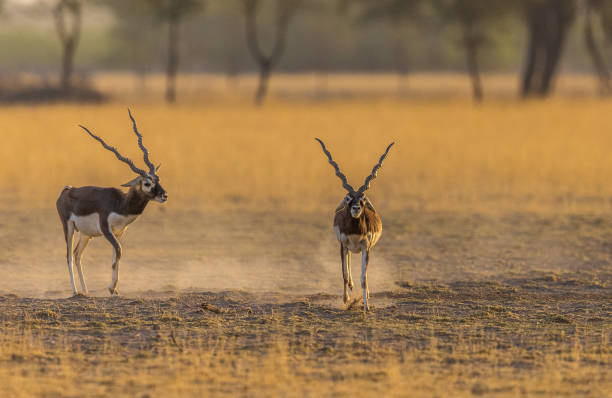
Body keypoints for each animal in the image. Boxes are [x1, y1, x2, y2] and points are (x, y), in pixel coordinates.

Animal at [57, 110, 166, 296]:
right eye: (146, 183)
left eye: (157, 179)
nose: (164, 195)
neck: (120, 204)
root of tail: (67, 190)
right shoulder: (106, 229)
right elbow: (119, 251)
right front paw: (111, 288)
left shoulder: (119, 232)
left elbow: (116, 256)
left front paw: (114, 289)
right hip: (69, 227)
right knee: (68, 256)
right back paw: (75, 291)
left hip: (85, 234)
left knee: (77, 254)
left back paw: (86, 291)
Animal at [316, 138, 396, 312]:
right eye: (348, 198)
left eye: (363, 199)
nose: (356, 208)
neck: (354, 232)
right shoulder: (342, 245)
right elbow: (344, 274)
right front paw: (346, 299)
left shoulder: (366, 247)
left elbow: (364, 278)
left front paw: (366, 306)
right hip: (347, 248)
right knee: (349, 262)